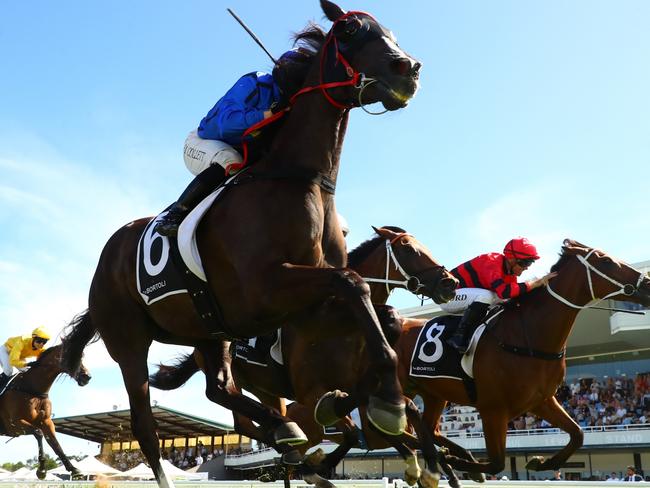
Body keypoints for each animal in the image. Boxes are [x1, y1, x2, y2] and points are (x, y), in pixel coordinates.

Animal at [0, 346, 92, 478]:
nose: (87, 376)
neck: (31, 388)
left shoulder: (46, 422)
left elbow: (54, 443)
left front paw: (74, 469)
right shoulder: (14, 424)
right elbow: (38, 433)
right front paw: (42, 469)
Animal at [58, 1, 418, 486]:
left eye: (391, 32)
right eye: (351, 30)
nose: (408, 69)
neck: (299, 179)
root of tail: (106, 258)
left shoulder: (308, 305)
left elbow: (370, 302)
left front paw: (376, 400)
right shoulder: (265, 291)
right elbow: (353, 282)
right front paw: (388, 404)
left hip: (210, 329)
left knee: (220, 388)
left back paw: (285, 431)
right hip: (129, 341)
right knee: (146, 427)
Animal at [388, 240, 648, 480]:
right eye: (606, 261)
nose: (646, 282)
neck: (528, 336)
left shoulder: (541, 400)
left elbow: (578, 434)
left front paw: (541, 462)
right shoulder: (492, 408)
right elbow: (496, 463)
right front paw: (460, 463)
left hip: (433, 394)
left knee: (428, 430)